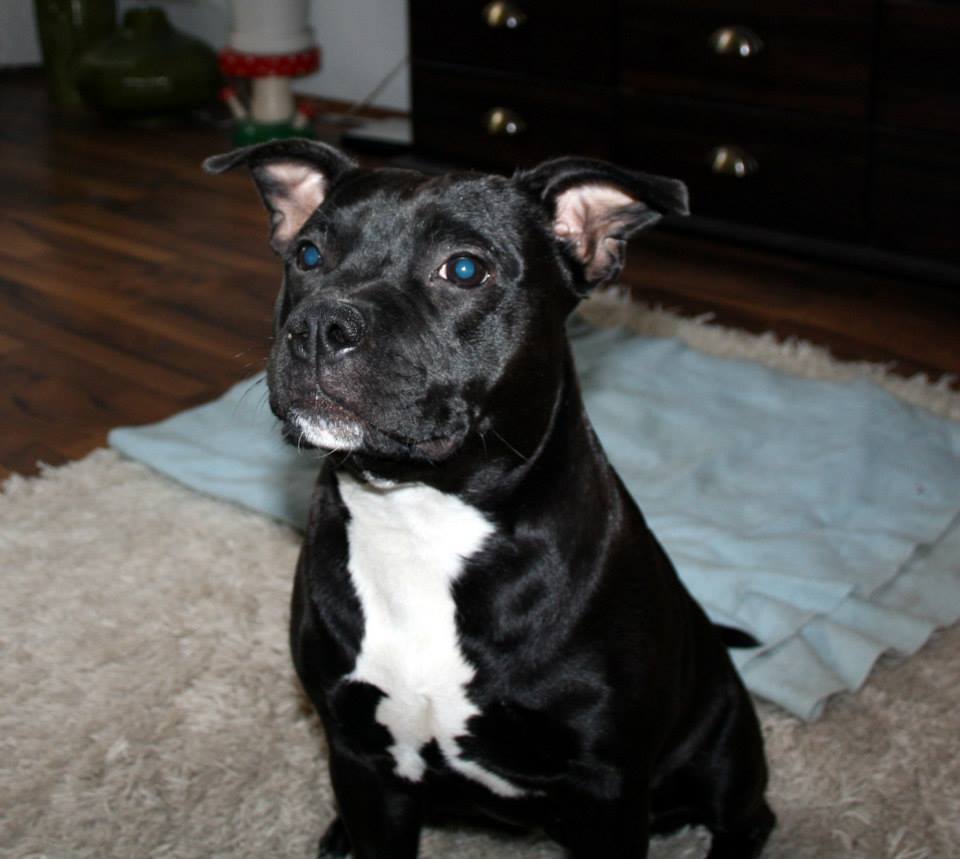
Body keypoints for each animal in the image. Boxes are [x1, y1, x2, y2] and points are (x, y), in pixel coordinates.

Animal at [205, 139, 775, 859]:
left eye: (465, 268)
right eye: (308, 256)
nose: (317, 326)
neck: (420, 515)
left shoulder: (608, 788)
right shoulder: (359, 757)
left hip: (724, 757)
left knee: (748, 818)